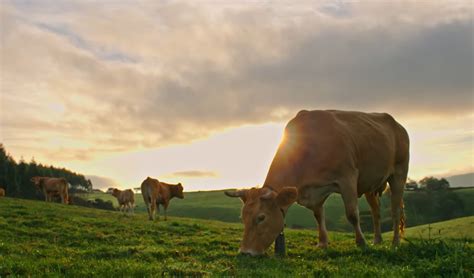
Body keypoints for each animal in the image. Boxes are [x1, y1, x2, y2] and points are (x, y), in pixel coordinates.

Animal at [224, 109, 410, 255]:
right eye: (242, 217)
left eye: (261, 217)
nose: (245, 252)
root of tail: (397, 125)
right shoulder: (314, 191)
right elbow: (318, 216)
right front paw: (322, 243)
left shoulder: (347, 178)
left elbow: (352, 214)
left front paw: (361, 242)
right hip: (370, 185)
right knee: (376, 212)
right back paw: (377, 240)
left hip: (399, 174)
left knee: (396, 211)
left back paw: (395, 242)